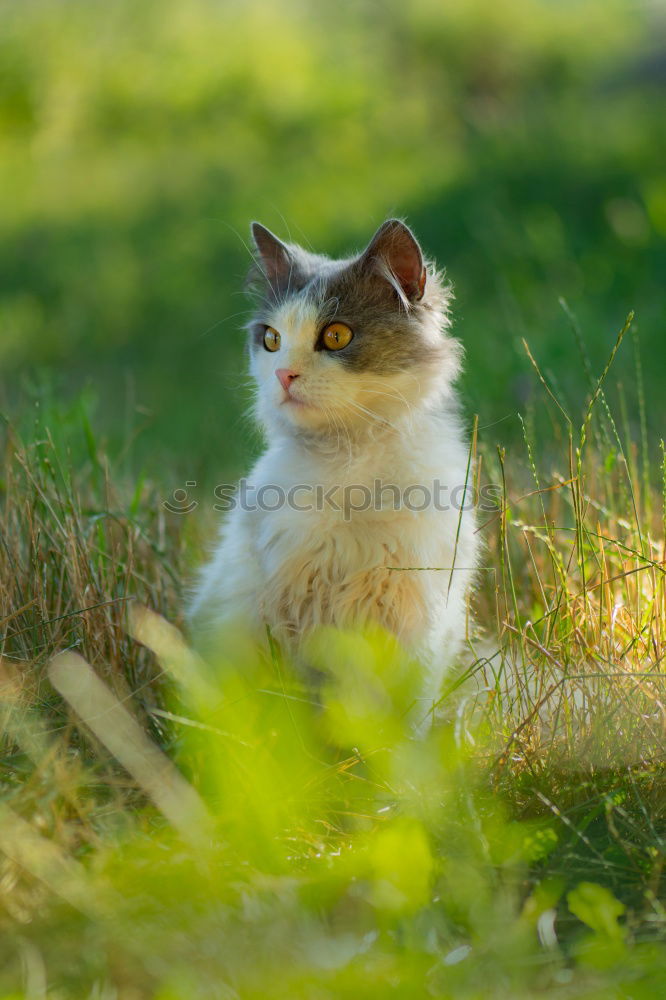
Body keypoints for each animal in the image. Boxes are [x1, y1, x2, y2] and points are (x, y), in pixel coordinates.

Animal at [187, 217, 478, 720]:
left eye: (336, 336)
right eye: (271, 340)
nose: (283, 375)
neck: (347, 466)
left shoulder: (416, 622)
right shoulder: (285, 608)